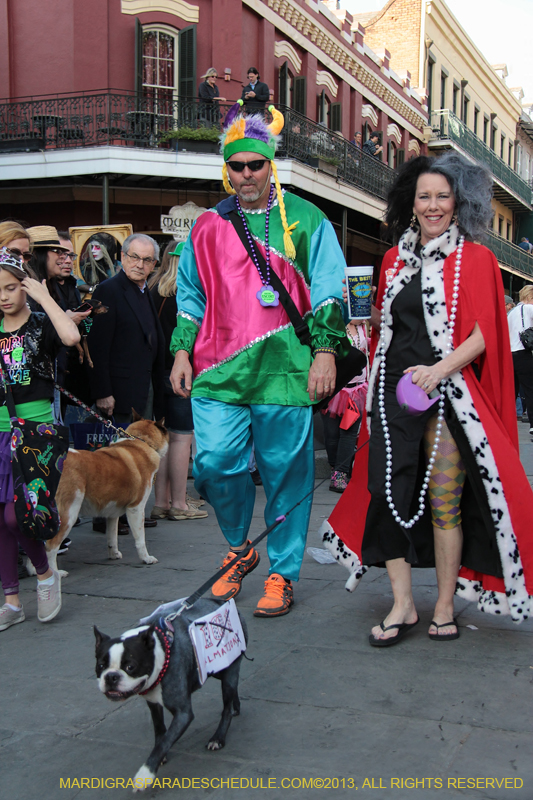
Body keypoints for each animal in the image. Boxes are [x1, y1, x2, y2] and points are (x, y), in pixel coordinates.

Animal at [94, 596, 247, 792]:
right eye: (100, 666)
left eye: (130, 666)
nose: (111, 677)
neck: (160, 648)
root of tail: (220, 600)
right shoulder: (153, 703)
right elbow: (160, 729)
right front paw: (160, 756)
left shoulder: (183, 714)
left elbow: (166, 740)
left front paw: (145, 774)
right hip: (216, 670)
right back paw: (236, 706)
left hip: (227, 669)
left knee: (226, 704)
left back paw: (218, 737)